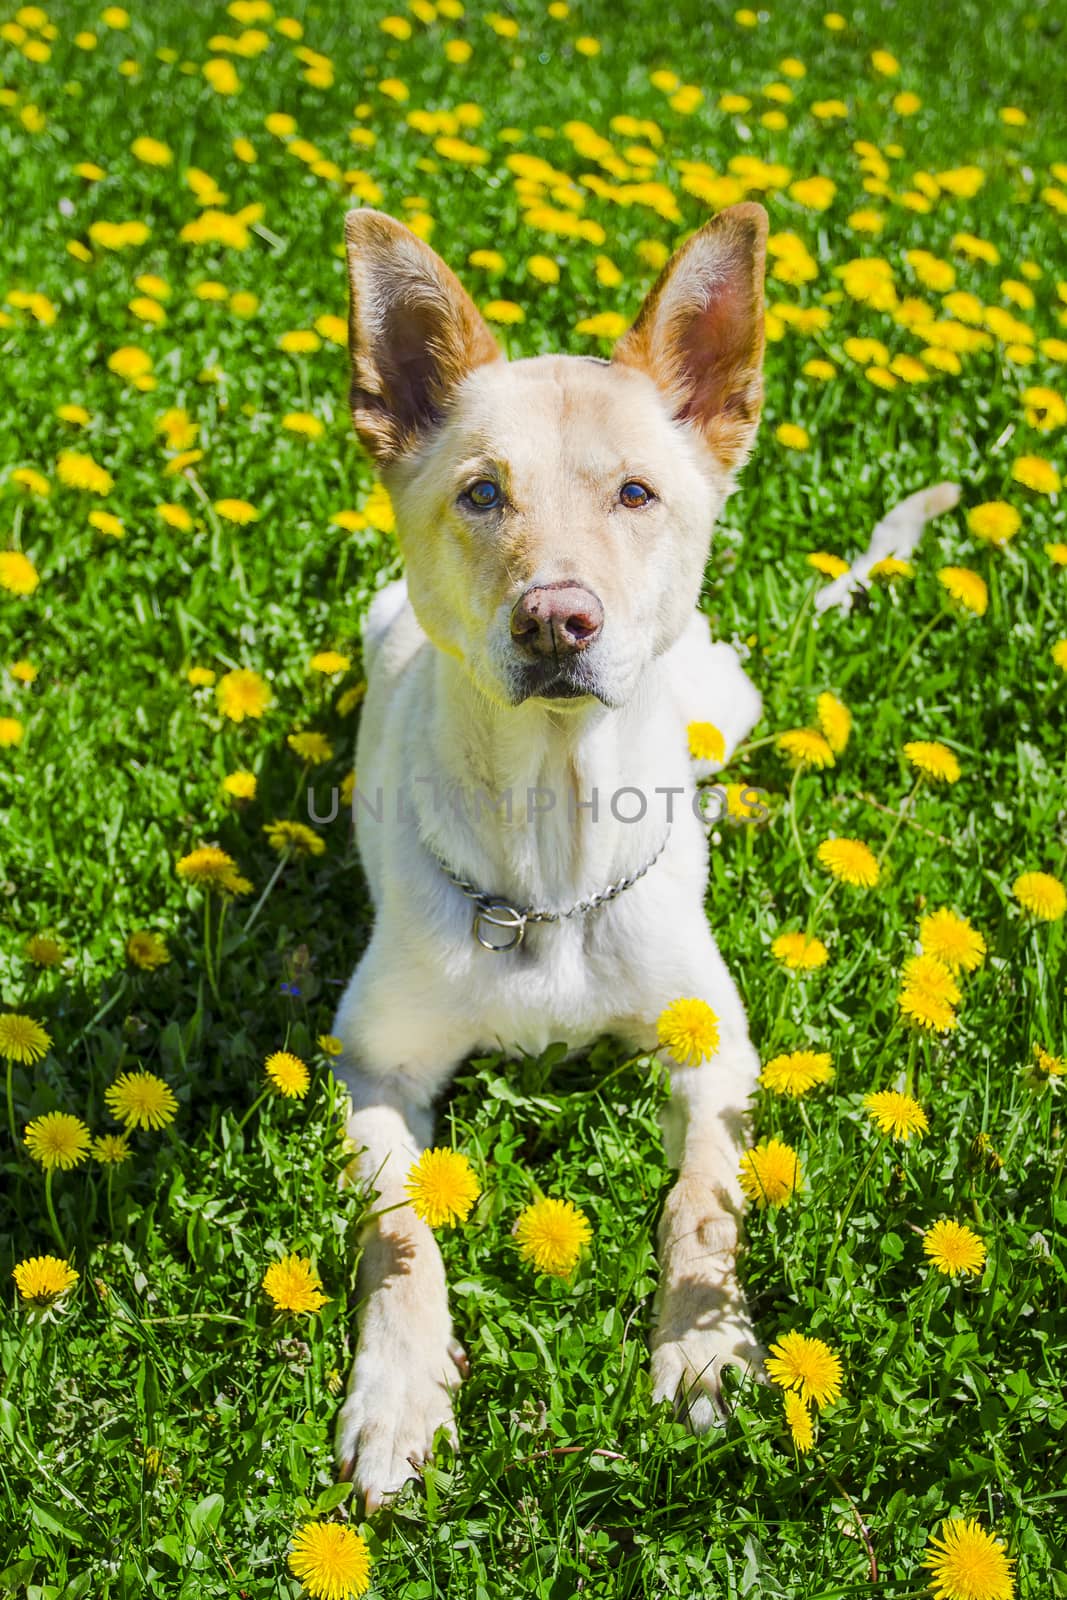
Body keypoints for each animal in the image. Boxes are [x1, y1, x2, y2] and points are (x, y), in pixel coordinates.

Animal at [329, 203, 771, 1510]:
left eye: (635, 492)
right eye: (481, 493)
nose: (556, 618)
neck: (552, 853)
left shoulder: (716, 1051)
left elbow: (702, 1203)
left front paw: (703, 1349)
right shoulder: (370, 1066)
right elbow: (402, 1235)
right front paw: (399, 1397)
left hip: (723, 696)